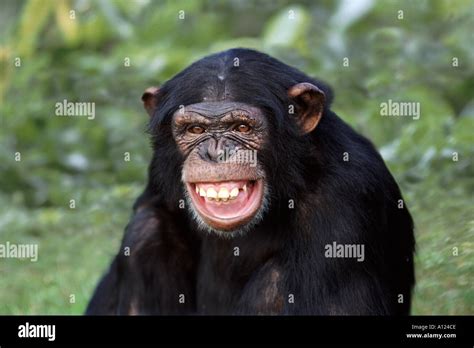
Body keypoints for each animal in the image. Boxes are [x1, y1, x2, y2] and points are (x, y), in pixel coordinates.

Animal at [86, 47, 414, 316]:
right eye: (195, 130)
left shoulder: (346, 198)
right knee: (146, 231)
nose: (216, 152)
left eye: (241, 127)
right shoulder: (158, 170)